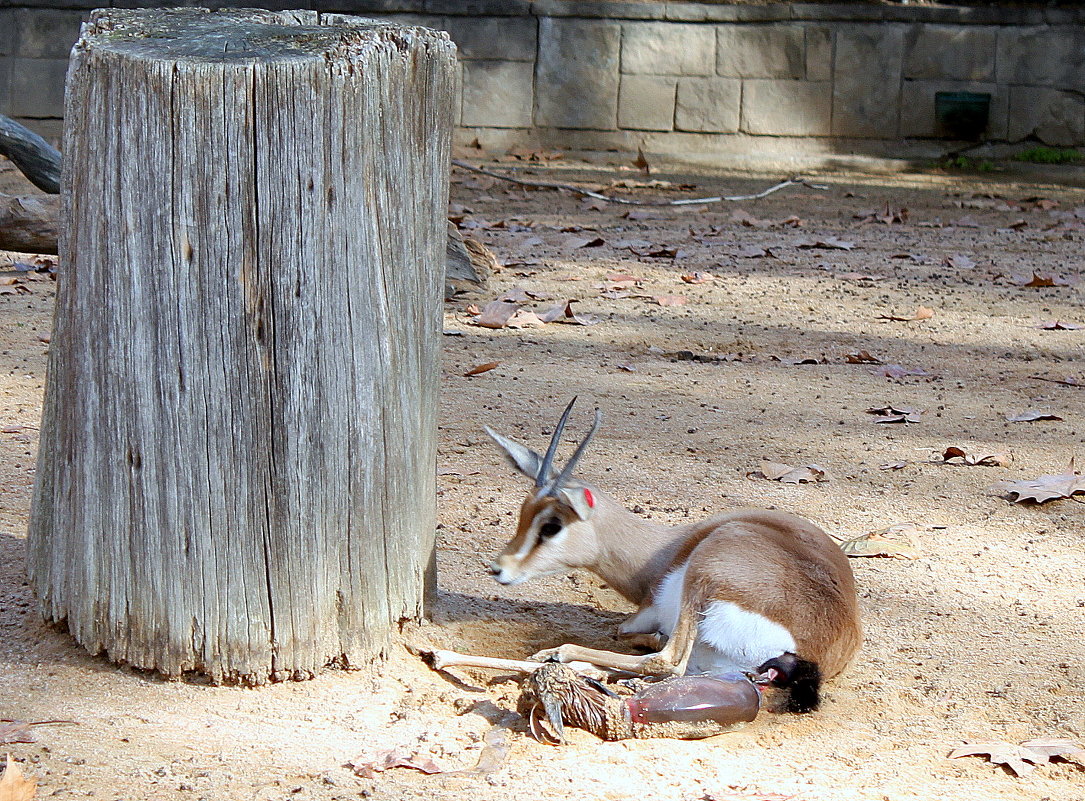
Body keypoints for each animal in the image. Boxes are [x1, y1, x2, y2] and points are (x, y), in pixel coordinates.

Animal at [488, 399, 859, 712]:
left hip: (703, 576)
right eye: (523, 513)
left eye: (551, 526)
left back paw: (560, 653)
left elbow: (625, 633)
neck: (663, 551)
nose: (499, 569)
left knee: (667, 661)